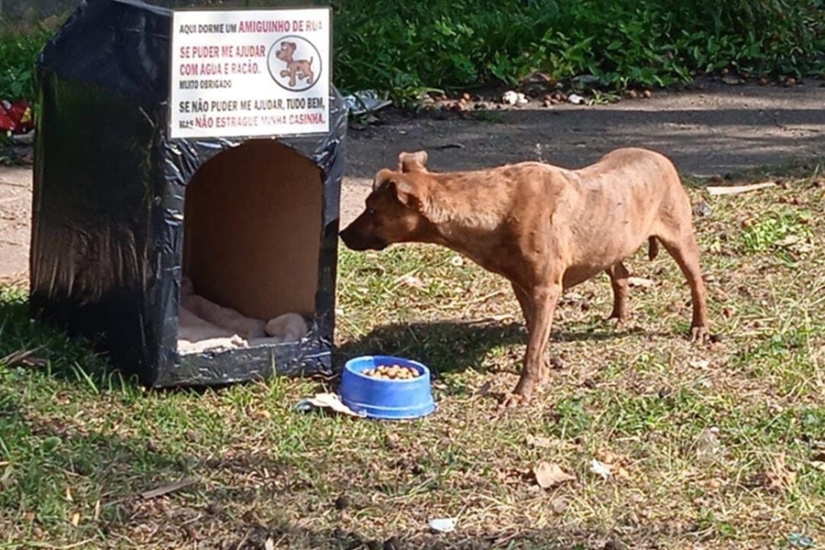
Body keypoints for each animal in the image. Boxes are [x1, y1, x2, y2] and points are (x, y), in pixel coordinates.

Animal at [338, 149, 712, 408]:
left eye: (372, 210)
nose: (341, 234)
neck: (490, 208)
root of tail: (659, 156)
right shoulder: (522, 286)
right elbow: (536, 335)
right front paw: (543, 369)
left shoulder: (545, 289)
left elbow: (533, 346)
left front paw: (522, 392)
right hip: (609, 242)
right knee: (620, 273)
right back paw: (619, 315)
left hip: (679, 236)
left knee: (696, 282)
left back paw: (699, 327)